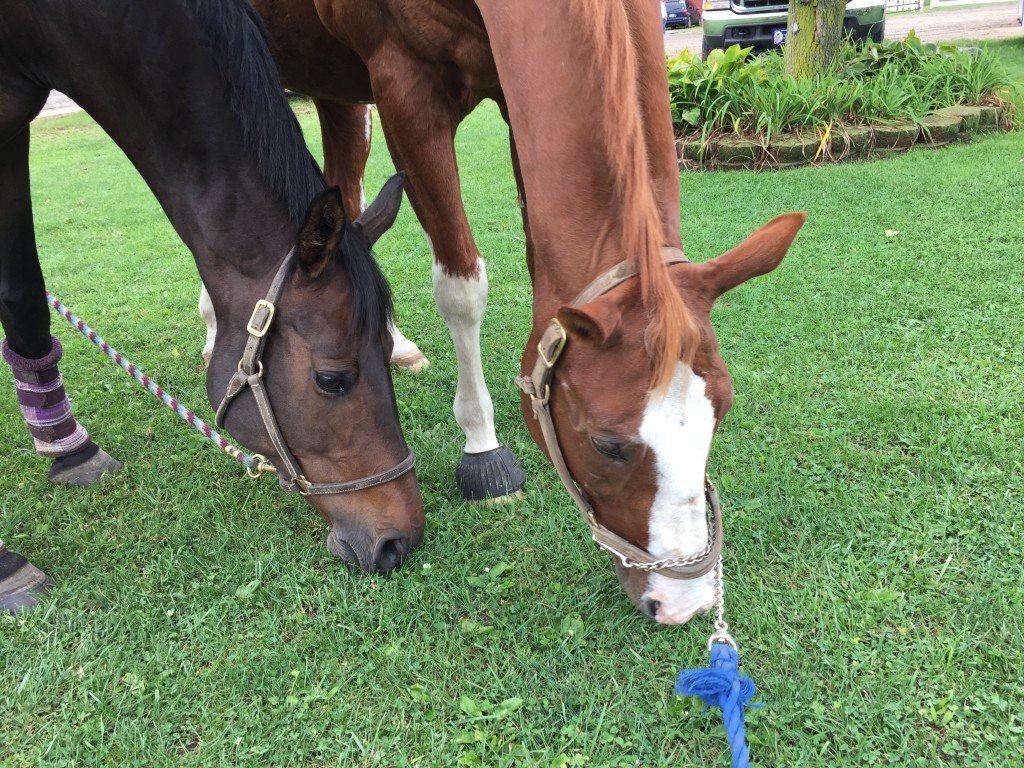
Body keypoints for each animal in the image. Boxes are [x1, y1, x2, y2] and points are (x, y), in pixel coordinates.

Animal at [235, 0, 802, 626]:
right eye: (607, 445)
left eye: (721, 409)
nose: (687, 604)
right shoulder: (405, 89)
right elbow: (461, 288)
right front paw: (482, 445)